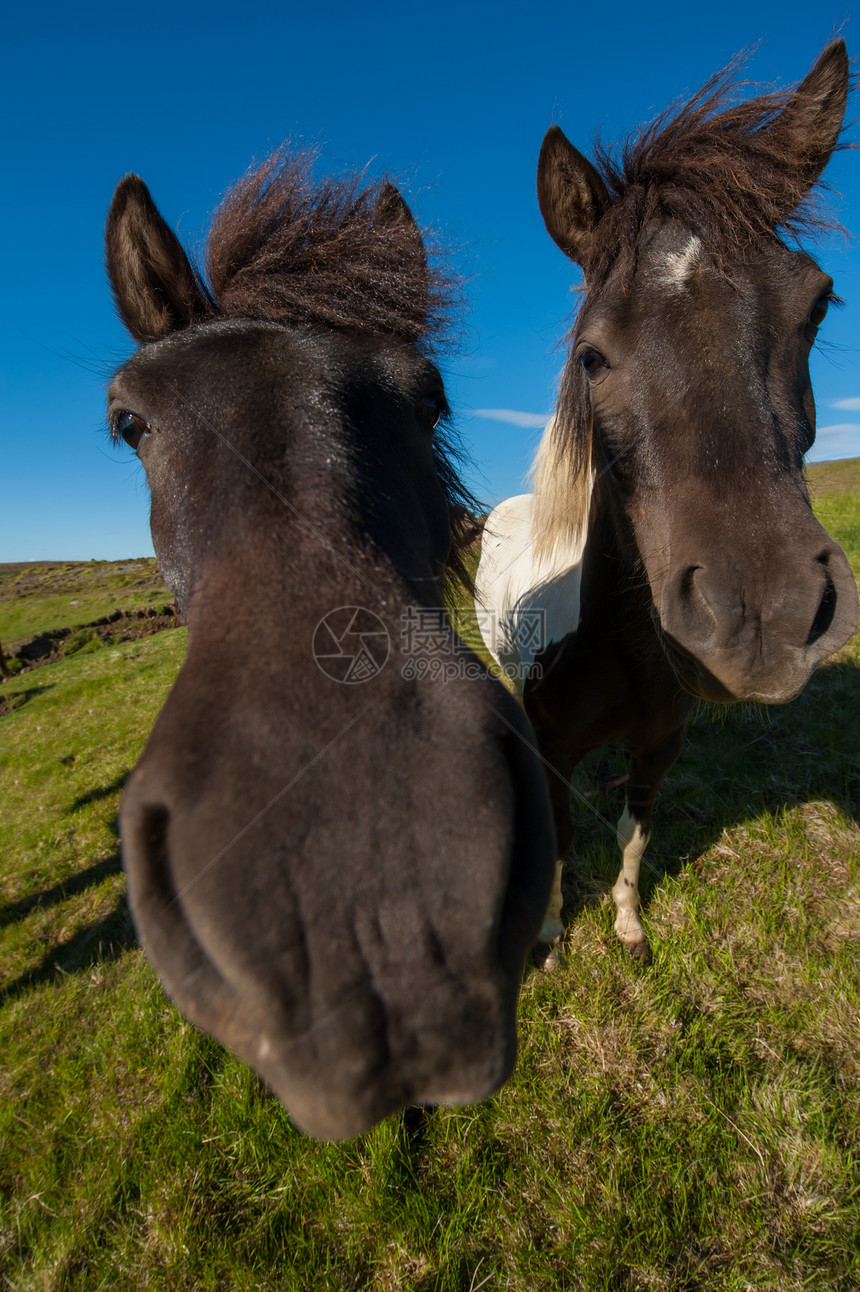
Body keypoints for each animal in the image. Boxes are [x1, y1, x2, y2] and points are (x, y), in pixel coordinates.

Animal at [475, 40, 857, 966]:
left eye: (817, 302)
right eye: (590, 354)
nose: (763, 616)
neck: (616, 645)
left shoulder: (660, 745)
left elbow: (632, 833)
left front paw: (627, 925)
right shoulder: (554, 750)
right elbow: (563, 839)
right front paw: (549, 938)